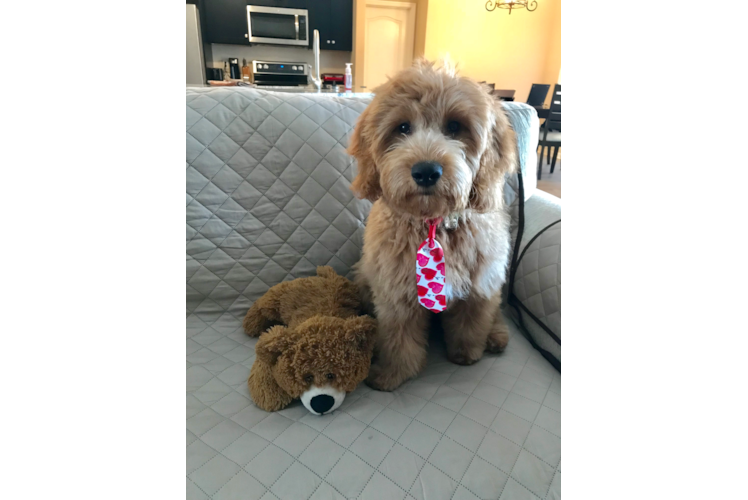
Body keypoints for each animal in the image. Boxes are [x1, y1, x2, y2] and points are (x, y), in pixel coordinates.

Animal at [348, 58, 516, 392]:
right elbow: (398, 339)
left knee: (493, 312)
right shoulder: (395, 293)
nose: (426, 171)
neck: (434, 226)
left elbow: (471, 322)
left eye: (455, 126)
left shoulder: (480, 284)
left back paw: (496, 335)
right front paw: (392, 374)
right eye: (402, 127)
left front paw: (467, 354)